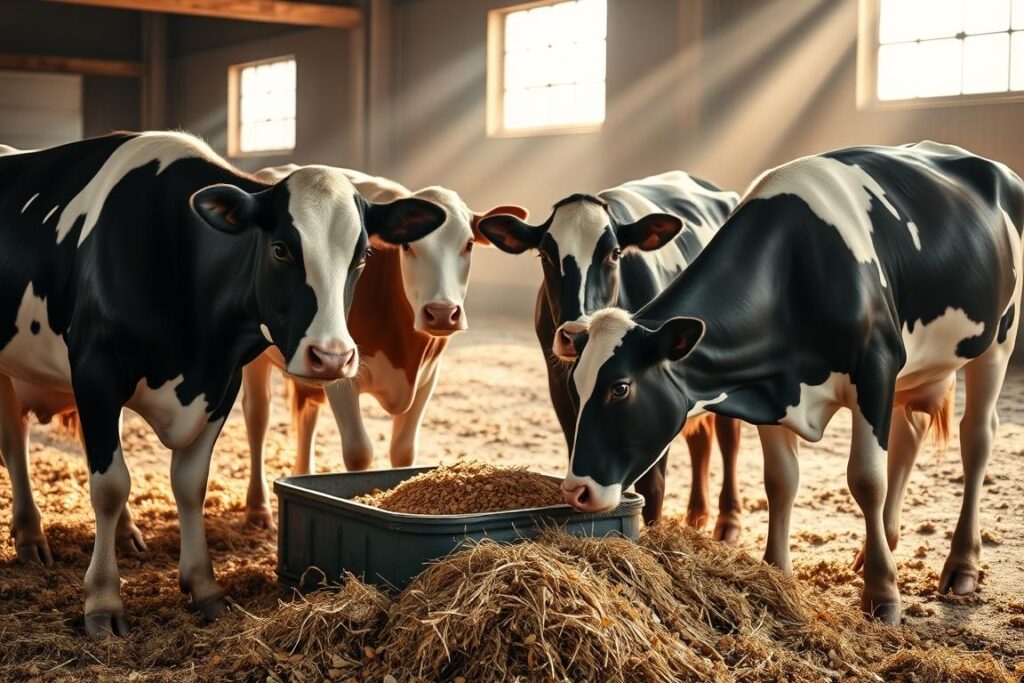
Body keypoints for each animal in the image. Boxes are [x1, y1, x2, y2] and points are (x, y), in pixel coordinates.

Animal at [0, 132, 447, 637]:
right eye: (280, 249)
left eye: (363, 256)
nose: (332, 356)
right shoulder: (96, 373)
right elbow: (110, 486)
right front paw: (103, 602)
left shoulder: (221, 384)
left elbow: (190, 483)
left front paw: (204, 587)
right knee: (15, 444)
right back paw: (31, 534)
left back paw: (120, 534)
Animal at [240, 166, 527, 527]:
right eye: (407, 246)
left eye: (469, 244)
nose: (442, 313)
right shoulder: (341, 372)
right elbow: (359, 453)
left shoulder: (428, 377)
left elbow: (404, 452)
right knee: (258, 416)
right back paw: (258, 508)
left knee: (308, 414)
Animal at [478, 172, 743, 533]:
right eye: (545, 255)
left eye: (615, 253)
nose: (575, 333)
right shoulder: (562, 388)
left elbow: (652, 483)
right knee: (700, 440)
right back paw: (696, 515)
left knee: (730, 440)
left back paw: (728, 523)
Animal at [560, 141, 1024, 624]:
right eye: (576, 386)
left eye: (620, 387)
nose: (576, 490)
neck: (792, 271)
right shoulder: (772, 390)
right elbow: (780, 481)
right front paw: (776, 572)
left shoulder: (875, 368)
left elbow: (866, 480)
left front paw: (882, 597)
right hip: (917, 367)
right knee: (908, 434)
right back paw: (879, 547)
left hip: (998, 339)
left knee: (977, 438)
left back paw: (962, 565)